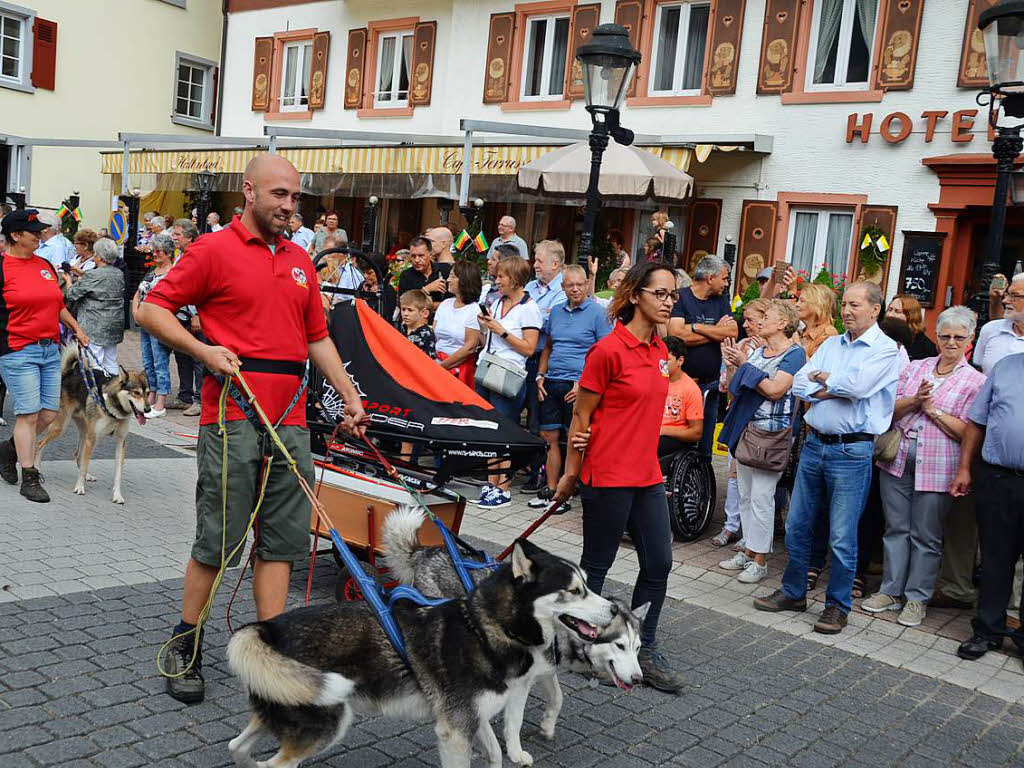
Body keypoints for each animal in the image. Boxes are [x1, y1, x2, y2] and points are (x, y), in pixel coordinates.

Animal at [228, 536, 610, 768]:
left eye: (586, 584)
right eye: (574, 590)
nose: (614, 609)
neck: (484, 630)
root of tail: (266, 628)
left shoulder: (473, 719)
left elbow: (496, 752)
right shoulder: (455, 731)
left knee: (238, 749)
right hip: (324, 726)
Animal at [385, 507, 647, 765]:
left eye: (637, 648)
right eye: (620, 645)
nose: (638, 679)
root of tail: (424, 551)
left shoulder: (542, 672)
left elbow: (557, 697)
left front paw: (547, 725)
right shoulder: (519, 683)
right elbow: (515, 721)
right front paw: (515, 751)